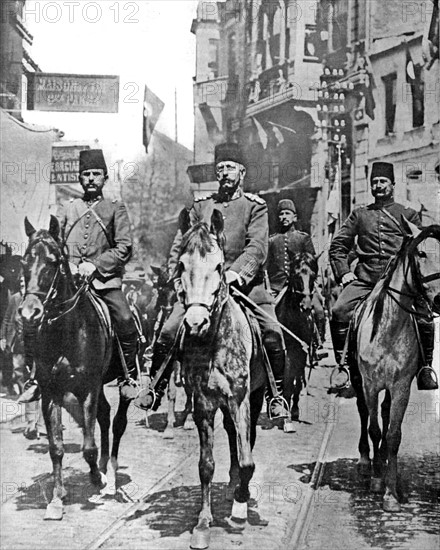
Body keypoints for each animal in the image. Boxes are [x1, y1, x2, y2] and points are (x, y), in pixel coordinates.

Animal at [18, 217, 137, 520]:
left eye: (54, 261)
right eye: (25, 261)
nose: (29, 313)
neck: (67, 330)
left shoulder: (88, 389)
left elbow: (88, 446)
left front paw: (97, 479)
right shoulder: (51, 393)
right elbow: (56, 447)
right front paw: (57, 500)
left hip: (117, 382)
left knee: (117, 423)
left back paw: (112, 479)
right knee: (104, 416)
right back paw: (105, 470)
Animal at [177, 209, 266, 548]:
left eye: (218, 266)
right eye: (181, 265)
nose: (195, 322)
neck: (213, 342)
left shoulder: (241, 398)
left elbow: (248, 459)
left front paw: (239, 511)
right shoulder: (203, 403)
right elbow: (206, 465)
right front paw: (203, 523)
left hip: (255, 395)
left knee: (245, 440)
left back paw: (241, 494)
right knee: (230, 435)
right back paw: (231, 483)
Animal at [348, 219, 438, 512]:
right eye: (421, 253)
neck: (389, 326)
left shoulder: (401, 387)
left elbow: (394, 435)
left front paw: (391, 491)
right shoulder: (370, 384)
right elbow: (374, 428)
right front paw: (377, 480)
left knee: (386, 416)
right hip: (359, 382)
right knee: (364, 413)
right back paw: (366, 460)